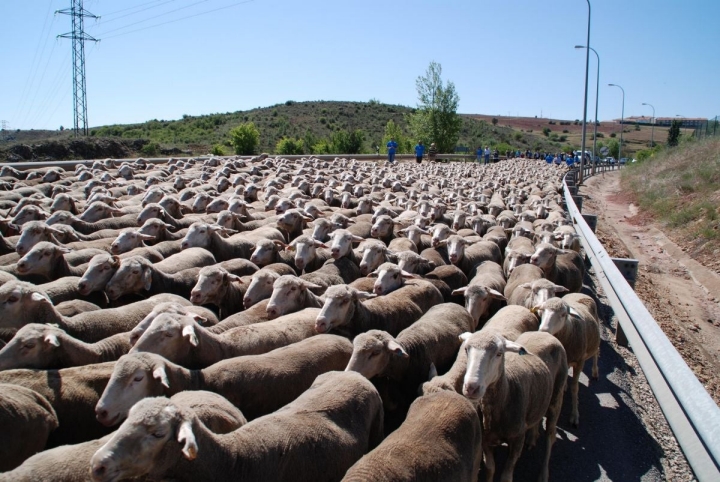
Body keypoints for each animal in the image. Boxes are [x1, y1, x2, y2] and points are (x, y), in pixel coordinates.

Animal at [461, 330, 567, 482]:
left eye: (499, 353)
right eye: (466, 349)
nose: (471, 387)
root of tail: (544, 333)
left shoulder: (517, 439)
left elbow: (506, 476)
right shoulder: (485, 440)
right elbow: (490, 468)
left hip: (556, 397)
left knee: (550, 436)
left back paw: (544, 473)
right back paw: (532, 437)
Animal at [536, 293, 601, 426]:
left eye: (563, 314)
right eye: (542, 310)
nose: (544, 330)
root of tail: (580, 294)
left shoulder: (580, 362)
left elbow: (575, 388)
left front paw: (575, 415)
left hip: (595, 340)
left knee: (596, 352)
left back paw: (595, 372)